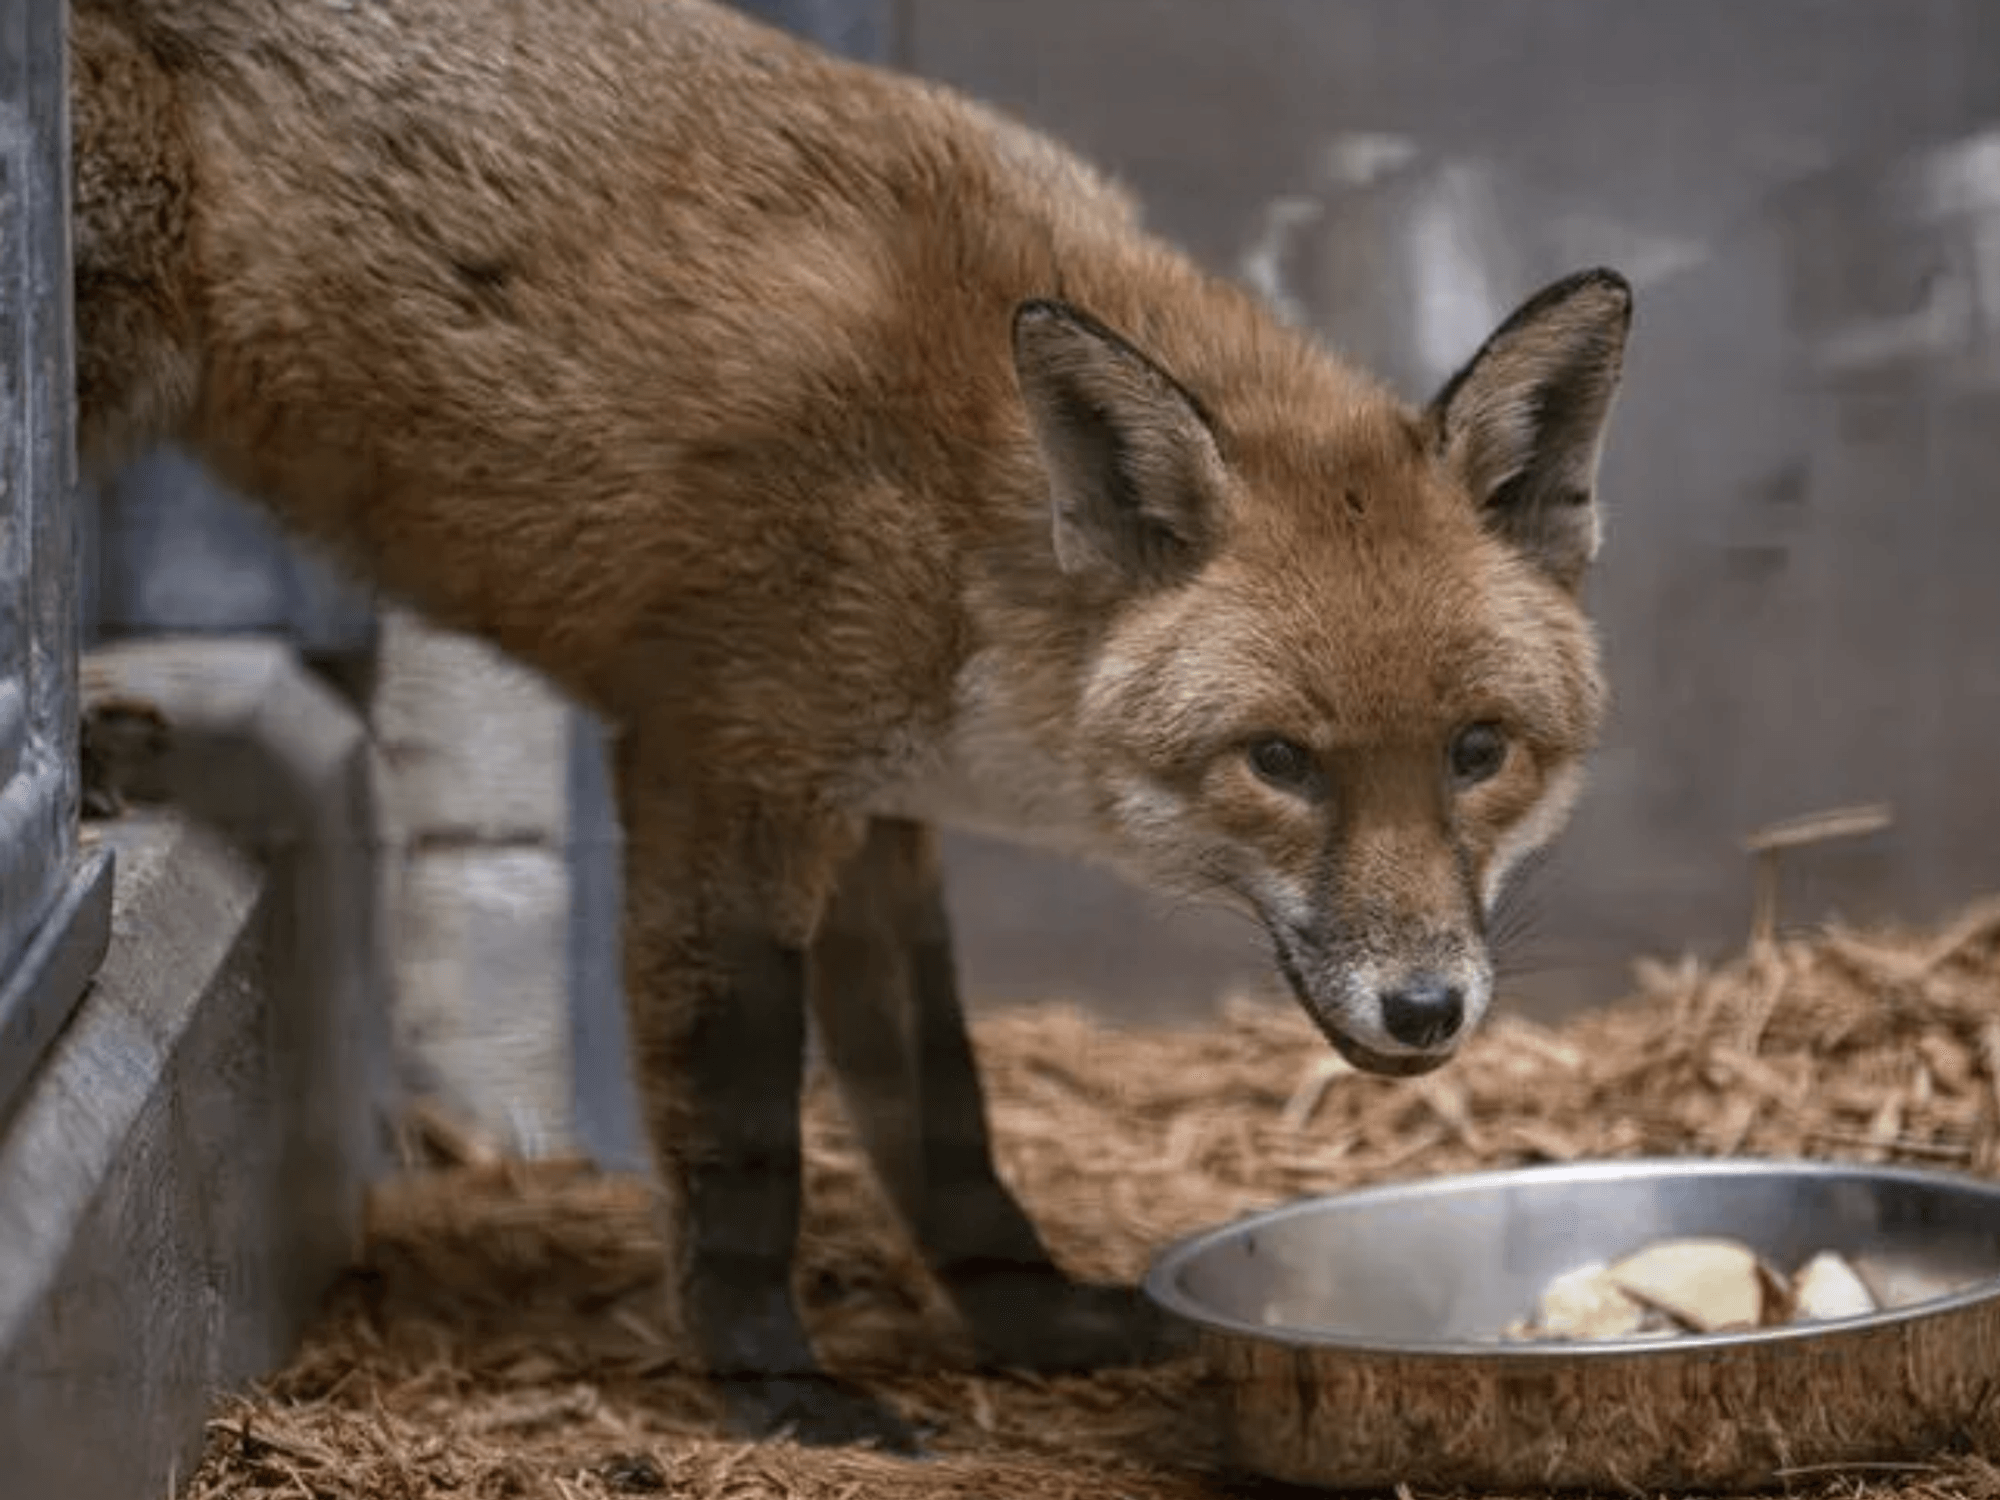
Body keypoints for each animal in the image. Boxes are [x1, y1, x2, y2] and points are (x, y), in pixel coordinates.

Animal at [70, 0, 1632, 1454]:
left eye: (1477, 752)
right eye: (1280, 764)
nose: (1426, 1009)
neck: (961, 527)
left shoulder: (882, 813)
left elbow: (943, 1117)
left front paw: (1031, 1321)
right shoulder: (721, 772)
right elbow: (747, 1140)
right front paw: (778, 1387)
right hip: (113, 327)